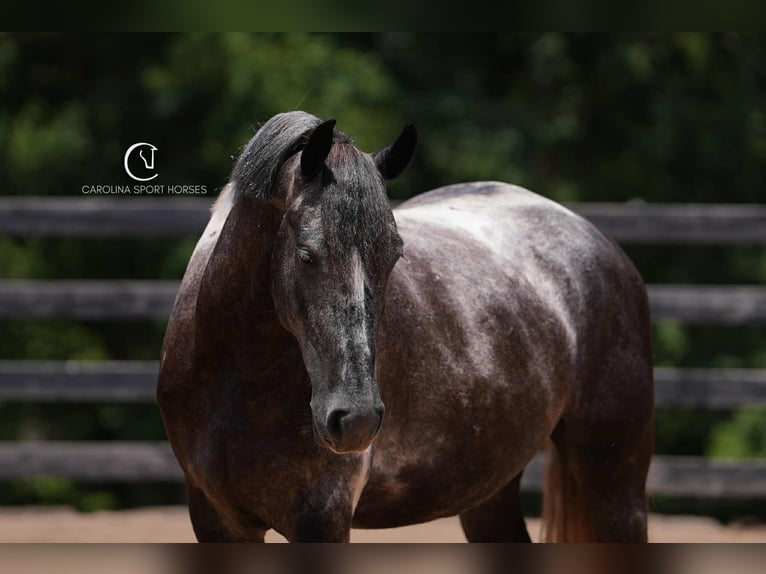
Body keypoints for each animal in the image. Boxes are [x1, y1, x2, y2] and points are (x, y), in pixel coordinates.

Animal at [157, 111, 654, 542]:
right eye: (306, 254)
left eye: (394, 254)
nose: (355, 419)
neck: (236, 382)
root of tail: (595, 240)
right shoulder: (216, 520)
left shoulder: (320, 518)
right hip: (489, 492)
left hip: (615, 486)